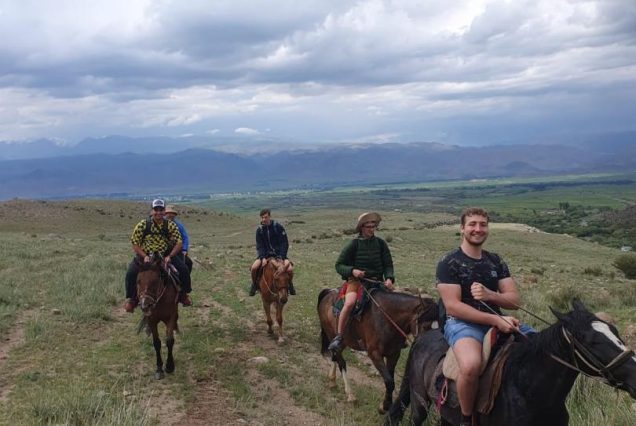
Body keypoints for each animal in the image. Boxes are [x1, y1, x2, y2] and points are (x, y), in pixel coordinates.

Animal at [382, 300, 636, 426]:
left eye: (615, 331)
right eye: (591, 341)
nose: (634, 375)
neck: (529, 391)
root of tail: (422, 338)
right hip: (419, 402)